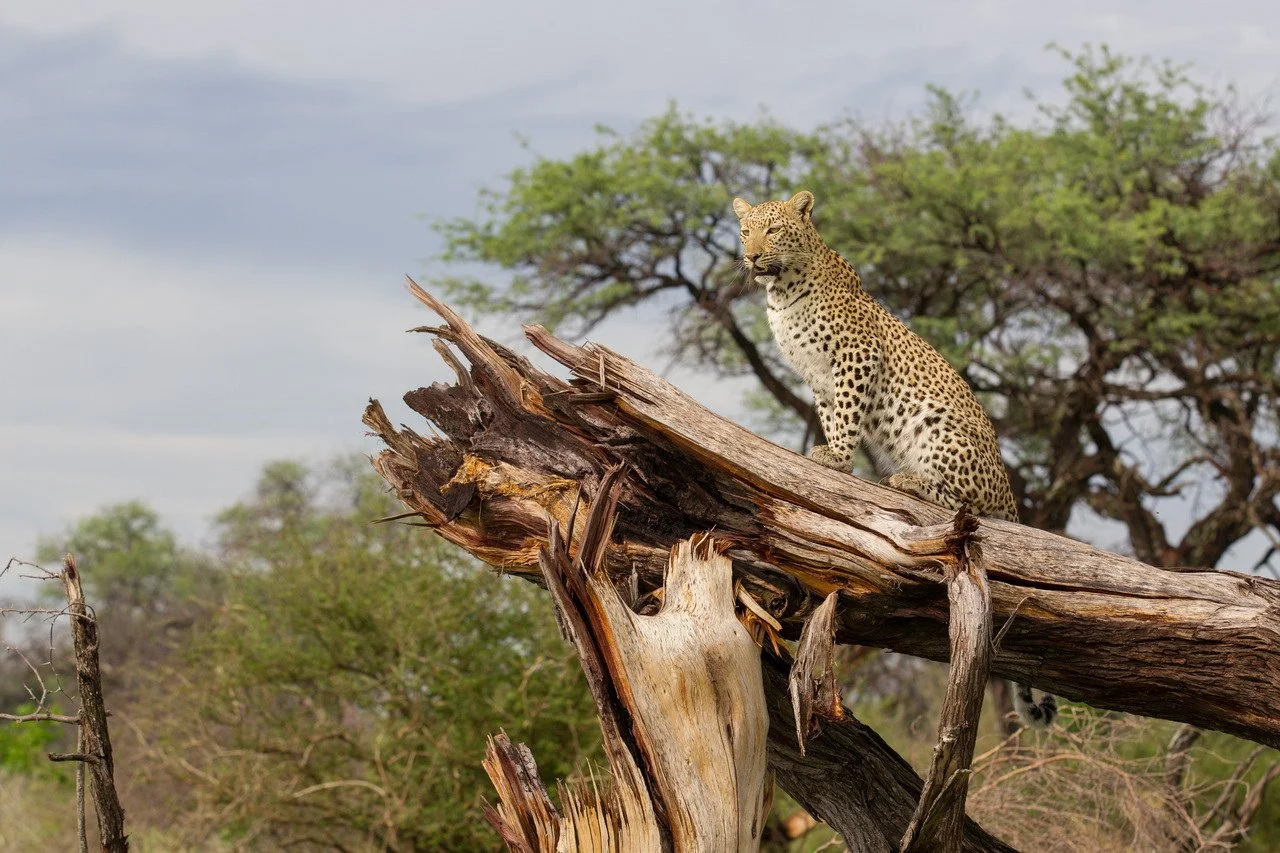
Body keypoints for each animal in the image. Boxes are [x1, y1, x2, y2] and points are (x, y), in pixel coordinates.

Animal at [733, 189, 1057, 728]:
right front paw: (832, 453)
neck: (780, 291)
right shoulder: (819, 380)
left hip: (938, 431)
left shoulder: (857, 357)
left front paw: (838, 459)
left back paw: (907, 482)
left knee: (963, 505)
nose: (753, 256)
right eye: (745, 232)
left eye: (774, 230)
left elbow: (847, 415)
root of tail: (1010, 492)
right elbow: (832, 414)